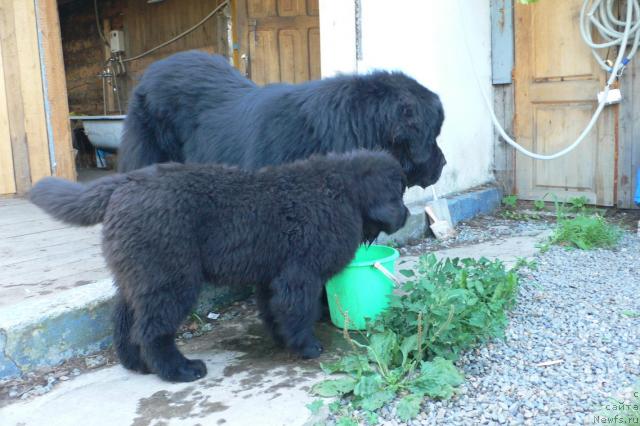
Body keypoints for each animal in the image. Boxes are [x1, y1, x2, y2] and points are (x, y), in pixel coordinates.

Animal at [30, 151, 408, 382]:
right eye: (400, 192)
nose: (405, 215)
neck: (342, 192)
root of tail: (123, 183)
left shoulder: (273, 275)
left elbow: (274, 311)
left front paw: (282, 340)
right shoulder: (300, 273)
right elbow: (298, 311)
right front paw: (307, 347)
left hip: (138, 275)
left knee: (125, 321)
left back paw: (137, 364)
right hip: (171, 278)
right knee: (151, 329)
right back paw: (178, 370)